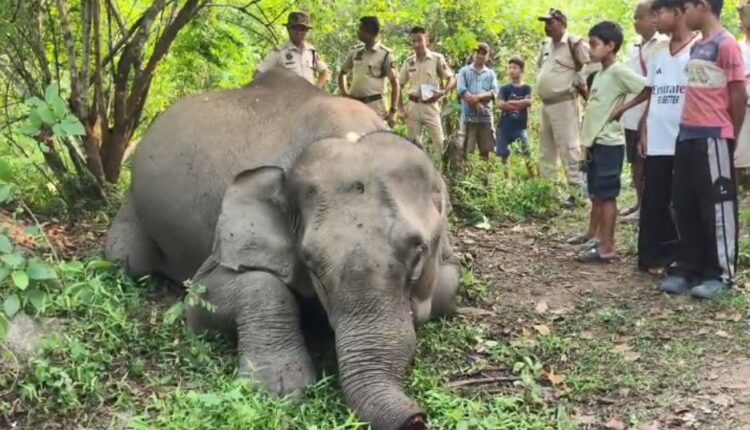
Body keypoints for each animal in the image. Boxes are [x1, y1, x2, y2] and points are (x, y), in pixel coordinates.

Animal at [104, 67, 461, 430]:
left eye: (418, 251)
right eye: (311, 262)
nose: (416, 419)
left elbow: (448, 285)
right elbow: (207, 292)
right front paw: (280, 390)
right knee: (126, 259)